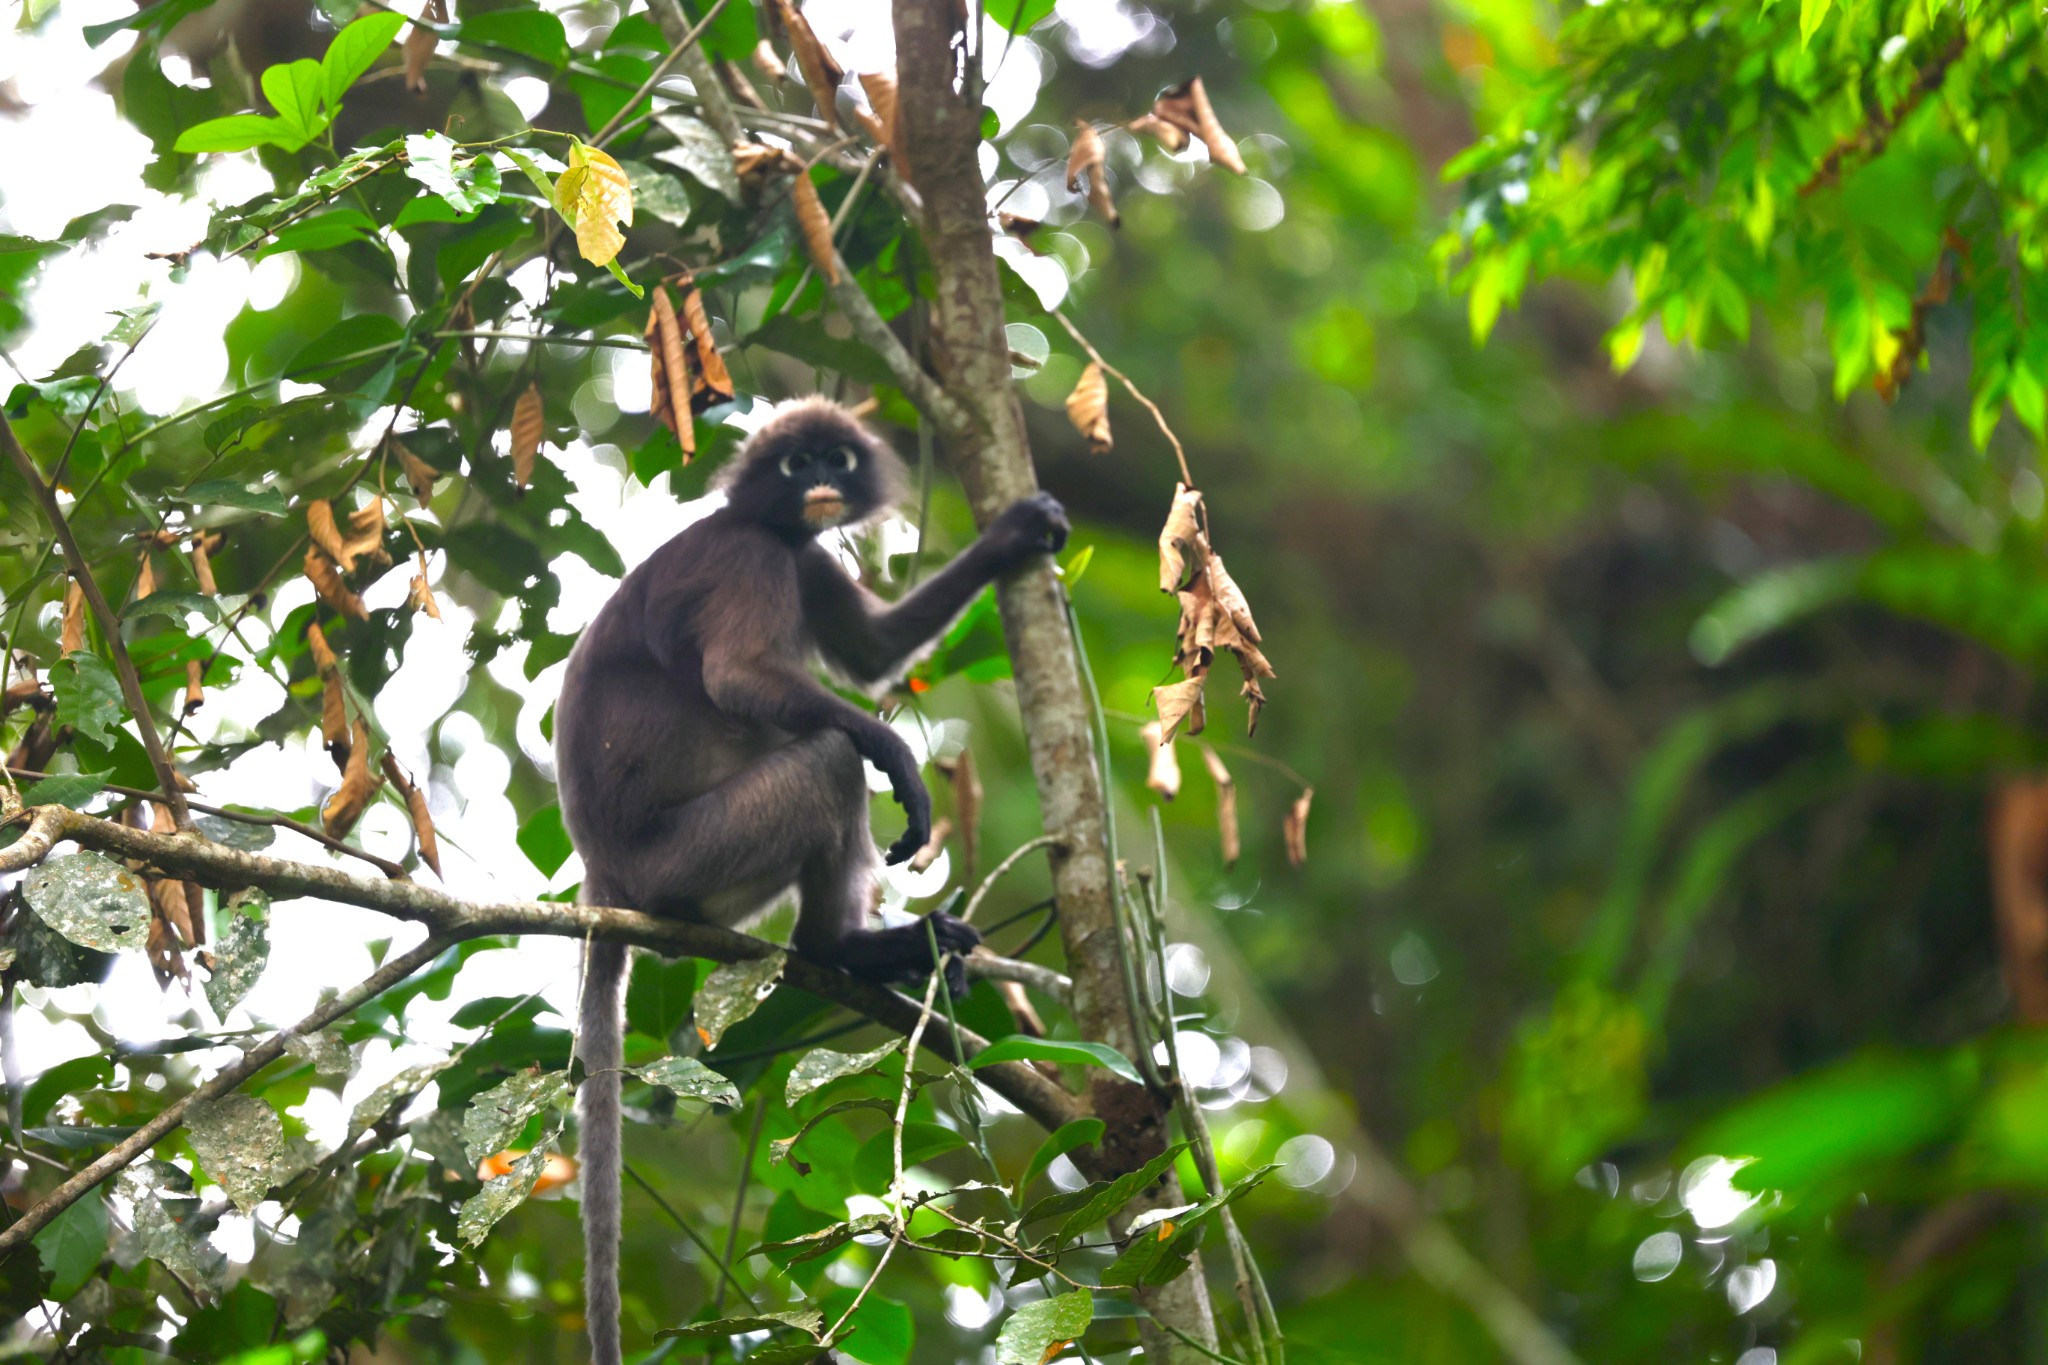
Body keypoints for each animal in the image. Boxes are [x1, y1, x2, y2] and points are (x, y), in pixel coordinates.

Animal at [557, 394, 1073, 1365]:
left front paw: (1017, 534)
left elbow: (872, 651)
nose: (823, 482)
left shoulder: (803, 556)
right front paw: (899, 757)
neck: (770, 525)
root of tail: (604, 870)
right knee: (829, 759)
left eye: (835, 457)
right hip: (698, 848)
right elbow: (742, 679)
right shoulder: (755, 556)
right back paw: (847, 944)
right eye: (797, 465)